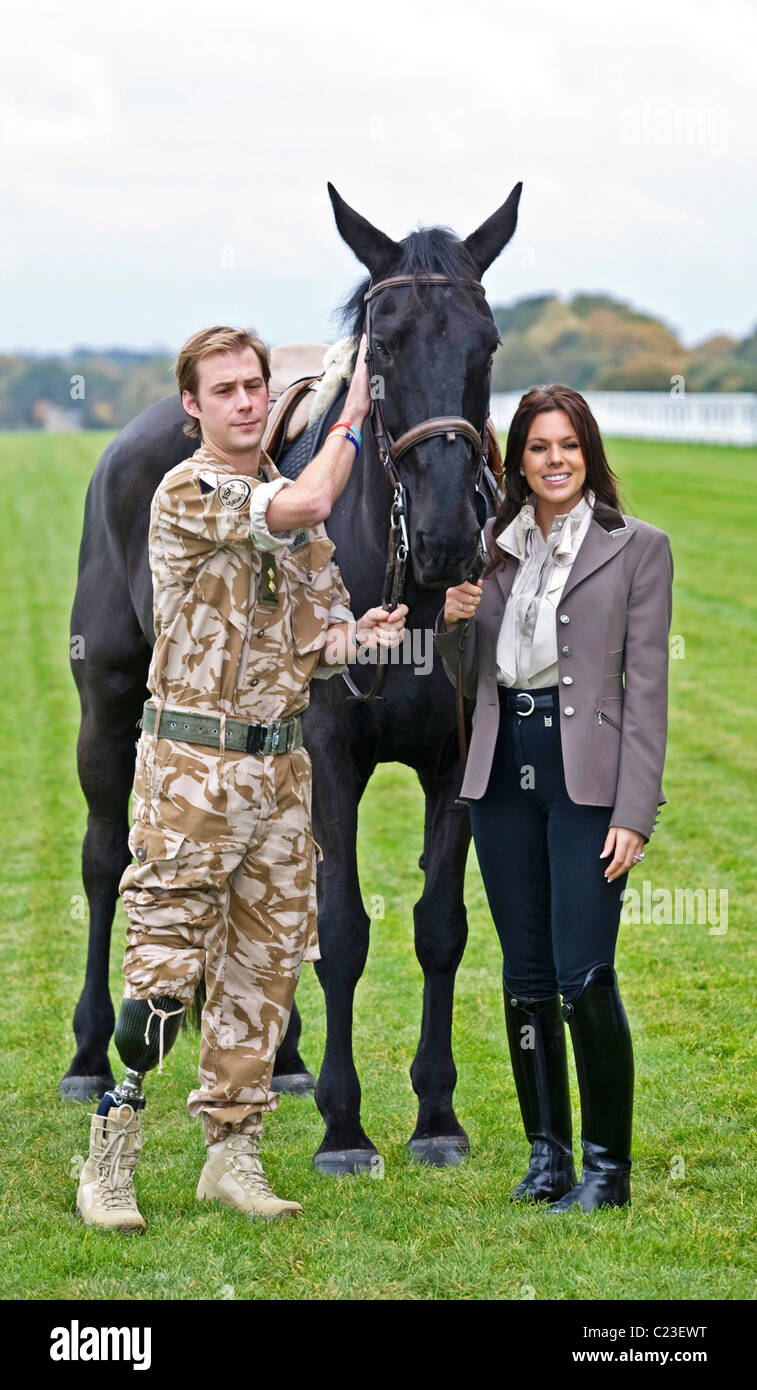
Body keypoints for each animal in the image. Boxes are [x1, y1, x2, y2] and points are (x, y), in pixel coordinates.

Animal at [64, 182, 519, 1173]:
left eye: (487, 343)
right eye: (382, 344)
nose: (445, 534)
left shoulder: (455, 769)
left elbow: (439, 929)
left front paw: (436, 1115)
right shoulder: (335, 760)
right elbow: (343, 930)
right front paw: (346, 1129)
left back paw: (280, 1055)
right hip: (110, 707)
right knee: (105, 859)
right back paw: (87, 1055)